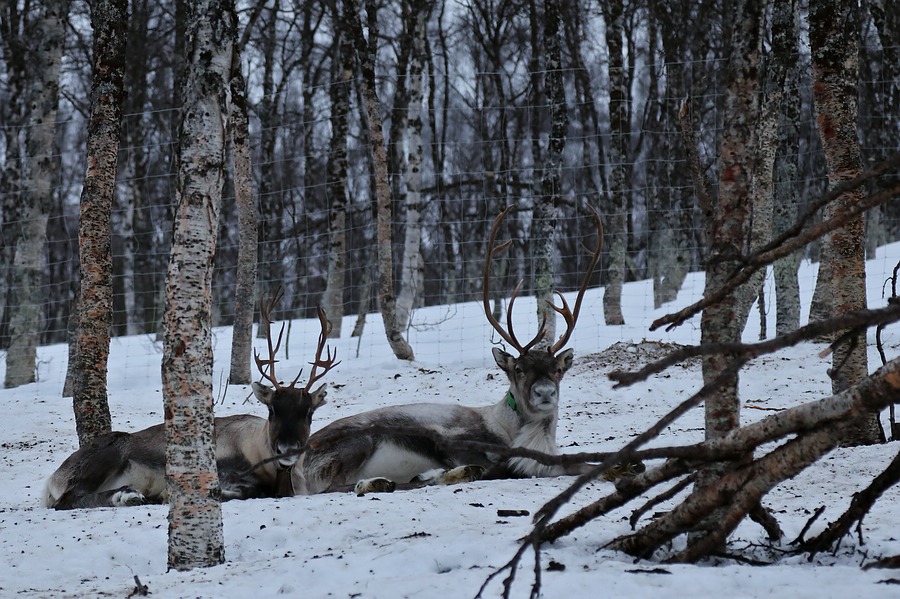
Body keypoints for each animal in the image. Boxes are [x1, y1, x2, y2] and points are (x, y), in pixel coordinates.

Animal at [43, 291, 338, 510]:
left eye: (309, 413)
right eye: (272, 410)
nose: (287, 449)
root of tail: (51, 480)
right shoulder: (223, 469)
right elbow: (248, 490)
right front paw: (167, 494)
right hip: (110, 452)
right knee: (67, 499)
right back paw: (128, 495)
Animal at [290, 206, 625, 496]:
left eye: (557, 369)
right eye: (519, 369)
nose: (544, 392)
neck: (510, 427)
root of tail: (296, 468)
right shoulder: (454, 443)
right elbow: (500, 466)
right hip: (358, 443)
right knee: (336, 487)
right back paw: (390, 481)